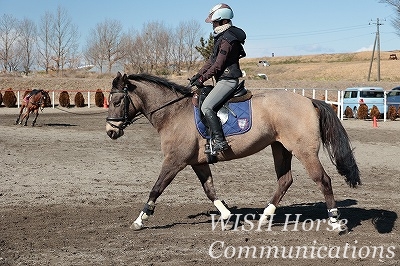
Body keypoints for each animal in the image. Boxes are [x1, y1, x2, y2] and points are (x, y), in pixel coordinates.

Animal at [104, 72, 360, 231]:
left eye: (116, 102)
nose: (110, 131)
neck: (173, 113)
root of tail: (308, 100)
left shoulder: (174, 161)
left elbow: (156, 189)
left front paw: (140, 220)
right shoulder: (197, 162)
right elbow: (209, 190)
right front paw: (226, 216)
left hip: (304, 151)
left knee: (323, 180)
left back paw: (335, 222)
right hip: (280, 148)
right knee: (285, 180)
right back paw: (264, 218)